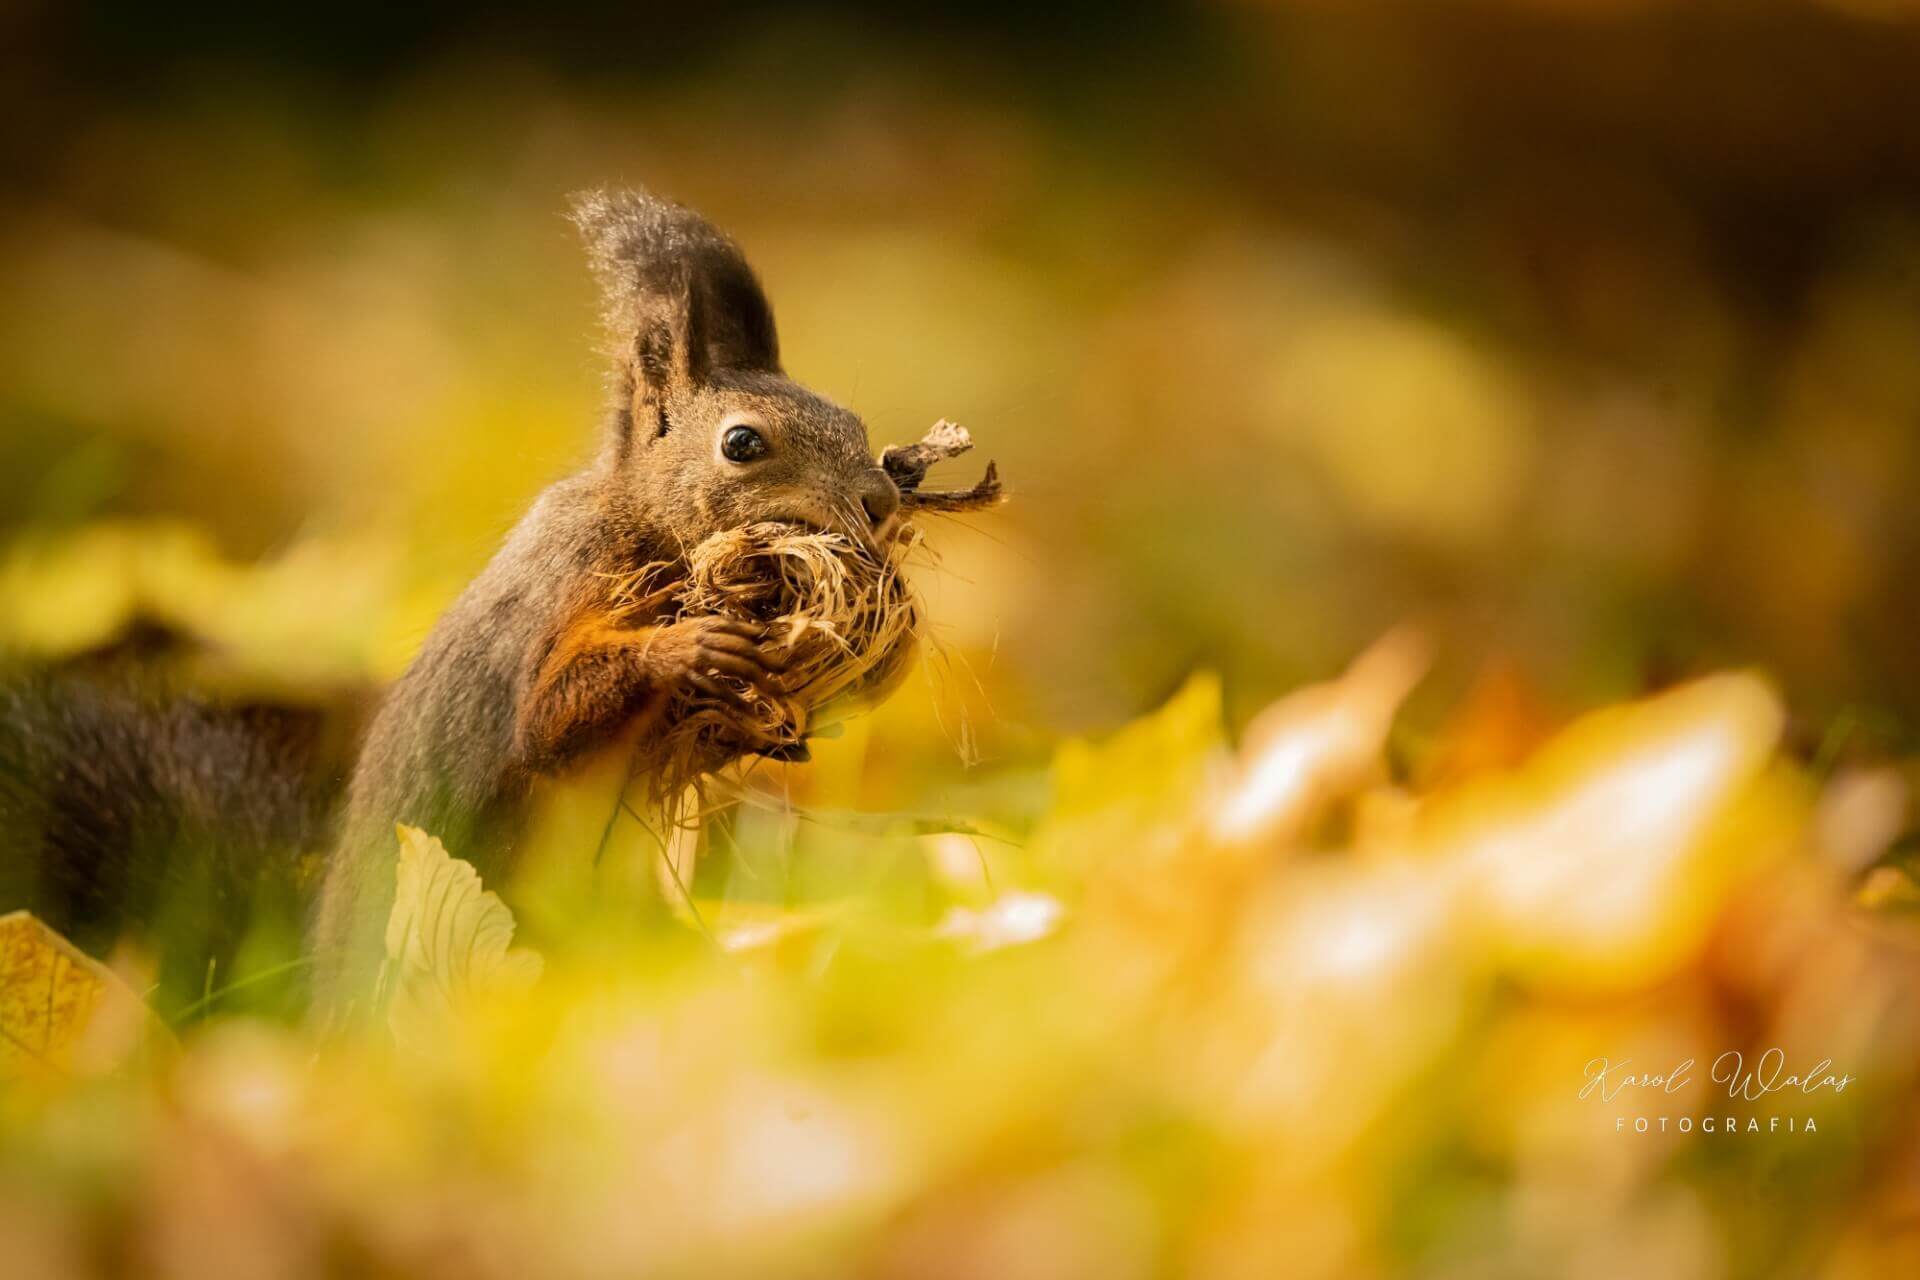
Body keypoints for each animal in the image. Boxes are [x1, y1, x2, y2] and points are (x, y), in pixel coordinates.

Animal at [311, 189, 910, 1013]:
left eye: (852, 423)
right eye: (743, 444)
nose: (882, 500)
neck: (641, 523)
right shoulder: (570, 584)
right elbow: (543, 724)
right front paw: (686, 647)